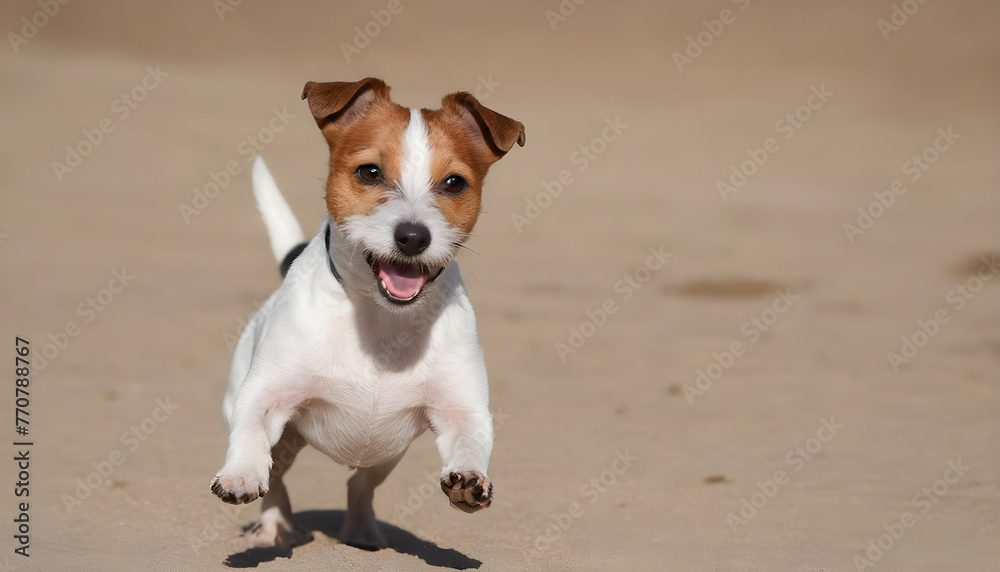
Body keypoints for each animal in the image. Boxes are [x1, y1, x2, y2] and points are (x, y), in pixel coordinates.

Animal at [208, 77, 528, 548]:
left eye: (454, 183)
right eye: (369, 172)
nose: (413, 236)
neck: (381, 321)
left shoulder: (462, 409)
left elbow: (470, 441)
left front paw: (470, 480)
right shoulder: (266, 395)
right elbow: (250, 432)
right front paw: (241, 475)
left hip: (386, 454)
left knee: (358, 485)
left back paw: (361, 531)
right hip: (282, 439)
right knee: (278, 479)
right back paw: (274, 526)